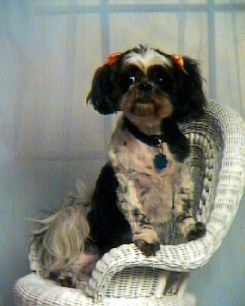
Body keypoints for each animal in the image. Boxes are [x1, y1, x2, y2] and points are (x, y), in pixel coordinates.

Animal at [30, 44, 207, 286]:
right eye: (129, 79)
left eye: (161, 78)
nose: (144, 85)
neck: (151, 139)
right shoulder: (127, 185)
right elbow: (137, 214)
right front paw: (147, 238)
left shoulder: (182, 175)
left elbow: (184, 205)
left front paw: (190, 226)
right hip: (87, 249)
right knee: (63, 269)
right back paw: (66, 276)